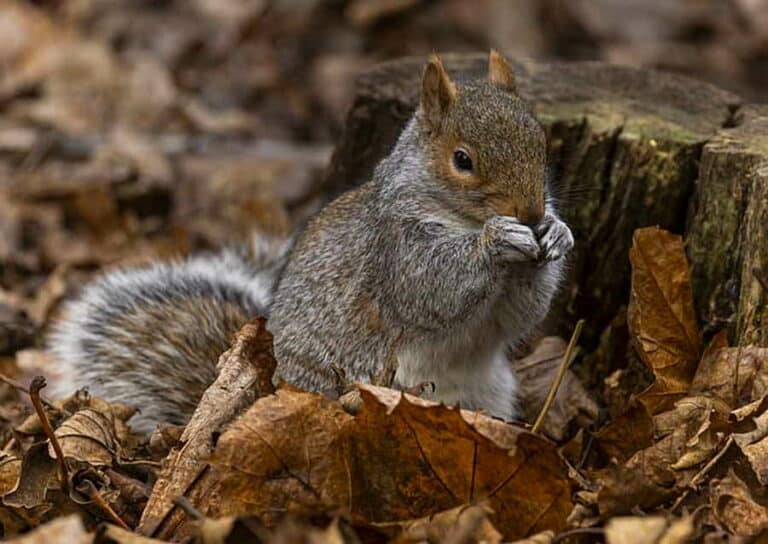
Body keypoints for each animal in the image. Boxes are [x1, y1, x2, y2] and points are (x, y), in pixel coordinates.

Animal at [48, 52, 572, 434]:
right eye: (462, 160)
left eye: (540, 143)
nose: (530, 214)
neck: (457, 216)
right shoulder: (395, 248)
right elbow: (432, 289)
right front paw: (497, 238)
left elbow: (519, 315)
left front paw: (557, 233)